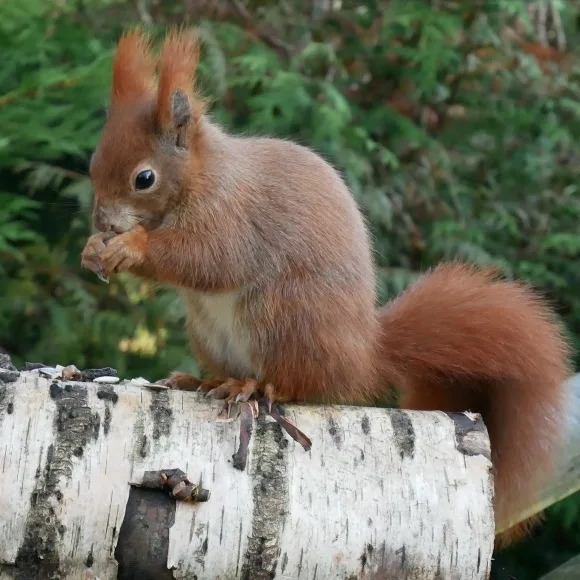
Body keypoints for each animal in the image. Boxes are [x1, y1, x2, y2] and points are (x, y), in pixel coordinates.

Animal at [80, 27, 572, 544]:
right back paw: (205, 379)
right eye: (93, 162)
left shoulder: (232, 218)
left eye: (144, 178)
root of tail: (363, 356)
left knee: (297, 384)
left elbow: (207, 257)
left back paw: (250, 384)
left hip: (280, 315)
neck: (201, 177)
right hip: (209, 331)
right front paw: (94, 249)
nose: (102, 222)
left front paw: (130, 247)